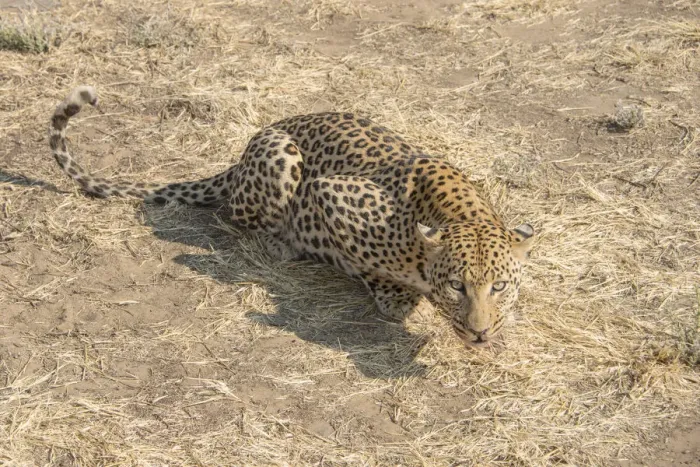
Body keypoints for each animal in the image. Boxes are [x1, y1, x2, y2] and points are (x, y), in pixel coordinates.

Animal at [49, 85, 535, 347]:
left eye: (499, 286)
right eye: (457, 285)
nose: (479, 332)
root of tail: (240, 156)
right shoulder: (331, 193)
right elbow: (370, 269)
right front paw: (393, 294)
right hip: (282, 155)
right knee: (240, 219)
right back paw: (282, 245)